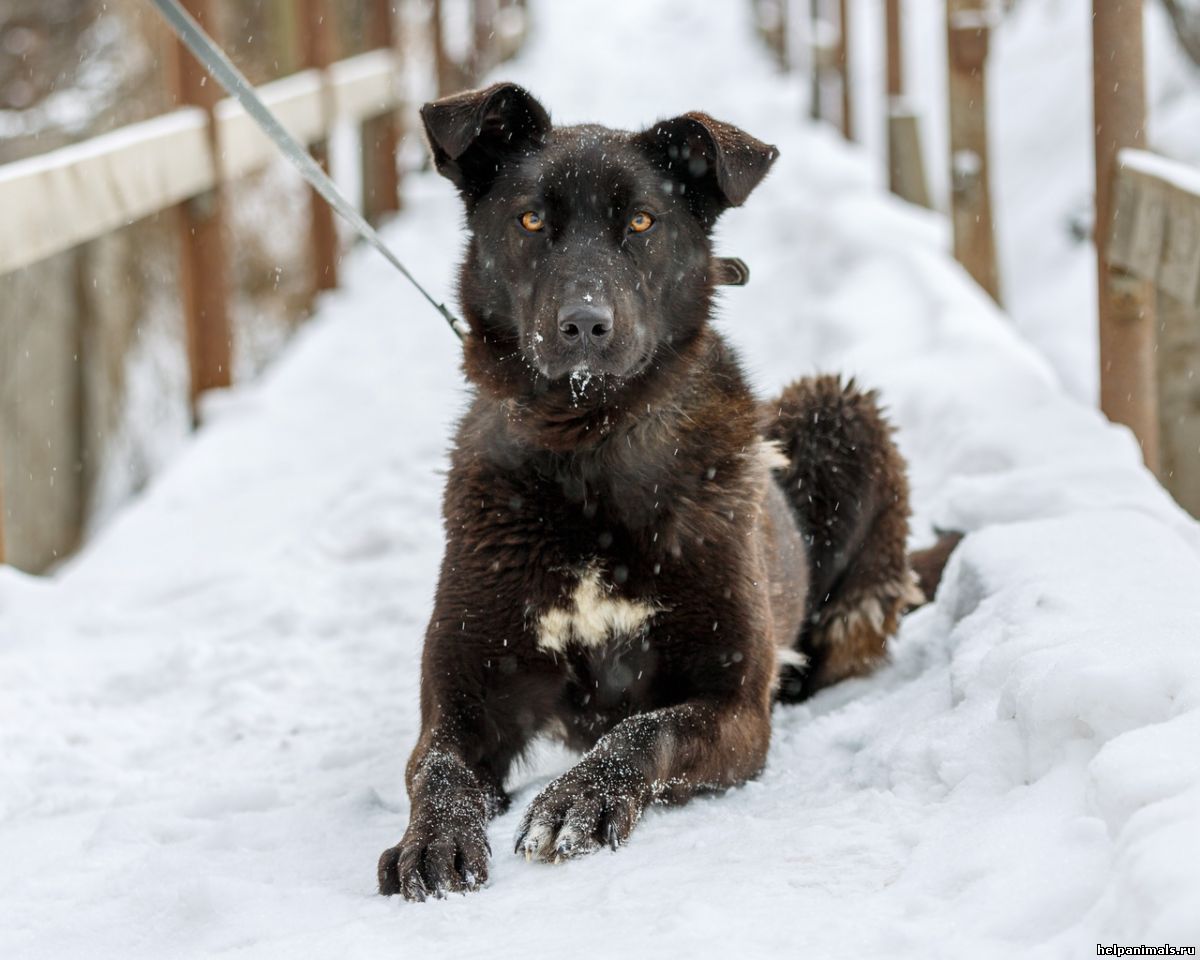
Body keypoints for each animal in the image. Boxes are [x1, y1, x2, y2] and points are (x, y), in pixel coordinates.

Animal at [379, 84, 950, 902]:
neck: (587, 447)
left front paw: (578, 798)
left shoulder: (736, 704)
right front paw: (434, 838)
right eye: (531, 220)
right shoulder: (465, 697)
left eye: (643, 221)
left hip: (837, 408)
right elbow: (437, 766)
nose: (584, 325)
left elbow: (645, 729)